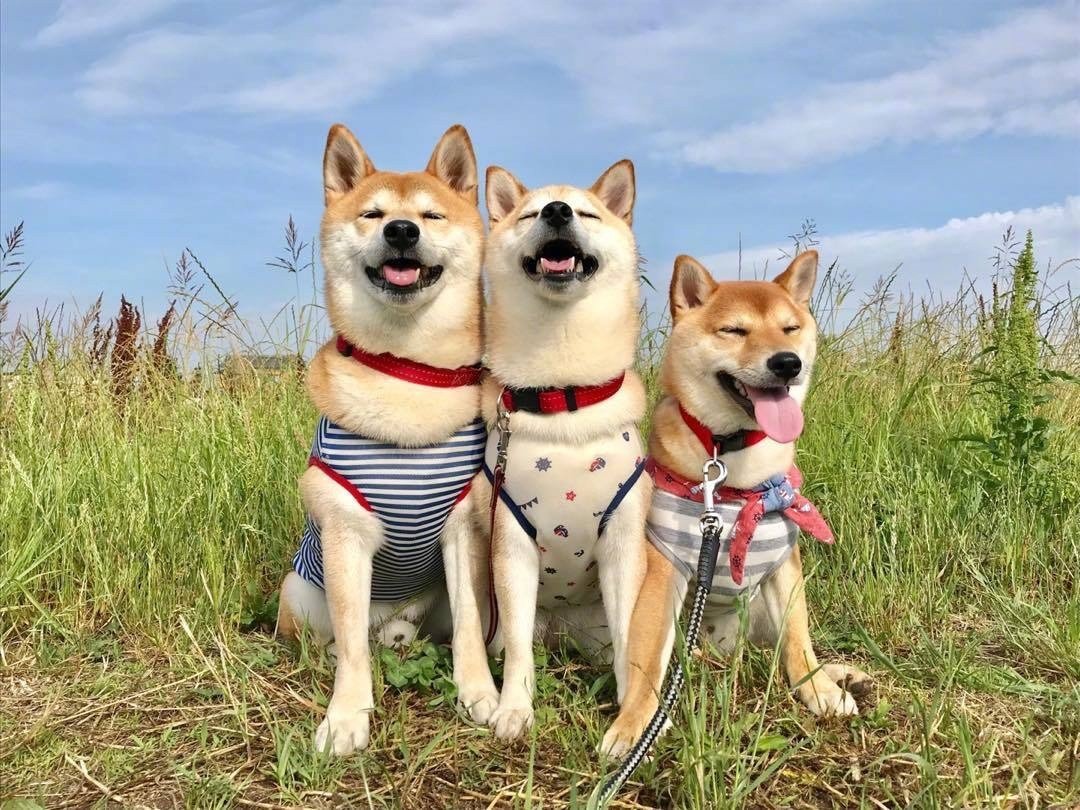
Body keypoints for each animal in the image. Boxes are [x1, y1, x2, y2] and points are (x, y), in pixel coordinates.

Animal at [276, 122, 497, 755]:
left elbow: (470, 630)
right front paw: (347, 716)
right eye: (372, 214)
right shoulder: (345, 535)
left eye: (431, 214)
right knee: (336, 638)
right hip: (300, 590)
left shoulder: (464, 529)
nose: (401, 230)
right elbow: (351, 650)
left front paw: (481, 693)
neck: (407, 370)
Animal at [449, 159, 654, 743]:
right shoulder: (513, 545)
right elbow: (519, 651)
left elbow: (631, 643)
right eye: (529, 213)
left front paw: (632, 718)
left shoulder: (623, 542)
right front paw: (514, 709)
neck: (562, 395)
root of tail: (562, 632)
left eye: (587, 212)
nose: (558, 211)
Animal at [602, 252, 872, 756]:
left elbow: (799, 641)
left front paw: (818, 690)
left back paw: (840, 674)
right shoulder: (663, 569)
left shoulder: (785, 563)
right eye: (734, 330)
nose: (787, 363)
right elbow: (645, 663)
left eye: (789, 328)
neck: (734, 467)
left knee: (783, 646)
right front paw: (634, 726)